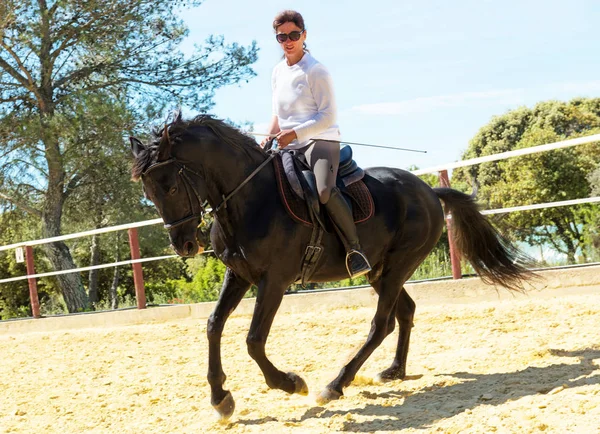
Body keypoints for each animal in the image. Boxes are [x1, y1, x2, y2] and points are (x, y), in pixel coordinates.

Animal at [129, 114, 532, 420]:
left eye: (170, 185)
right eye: (148, 192)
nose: (183, 245)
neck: (250, 199)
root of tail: (430, 191)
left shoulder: (275, 280)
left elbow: (254, 340)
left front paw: (290, 383)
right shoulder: (239, 275)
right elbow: (213, 326)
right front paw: (220, 398)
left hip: (397, 267)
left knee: (381, 324)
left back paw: (335, 385)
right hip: (380, 271)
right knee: (404, 312)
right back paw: (394, 371)